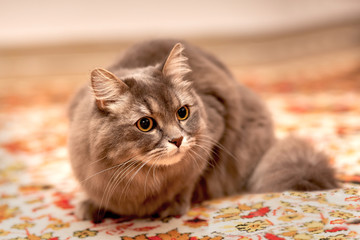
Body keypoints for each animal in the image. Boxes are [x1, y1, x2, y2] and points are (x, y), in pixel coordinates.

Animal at [68, 39, 340, 221]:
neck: (142, 178)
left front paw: (173, 205)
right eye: (145, 124)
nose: (177, 140)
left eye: (182, 113)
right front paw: (92, 205)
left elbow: (189, 180)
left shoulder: (213, 132)